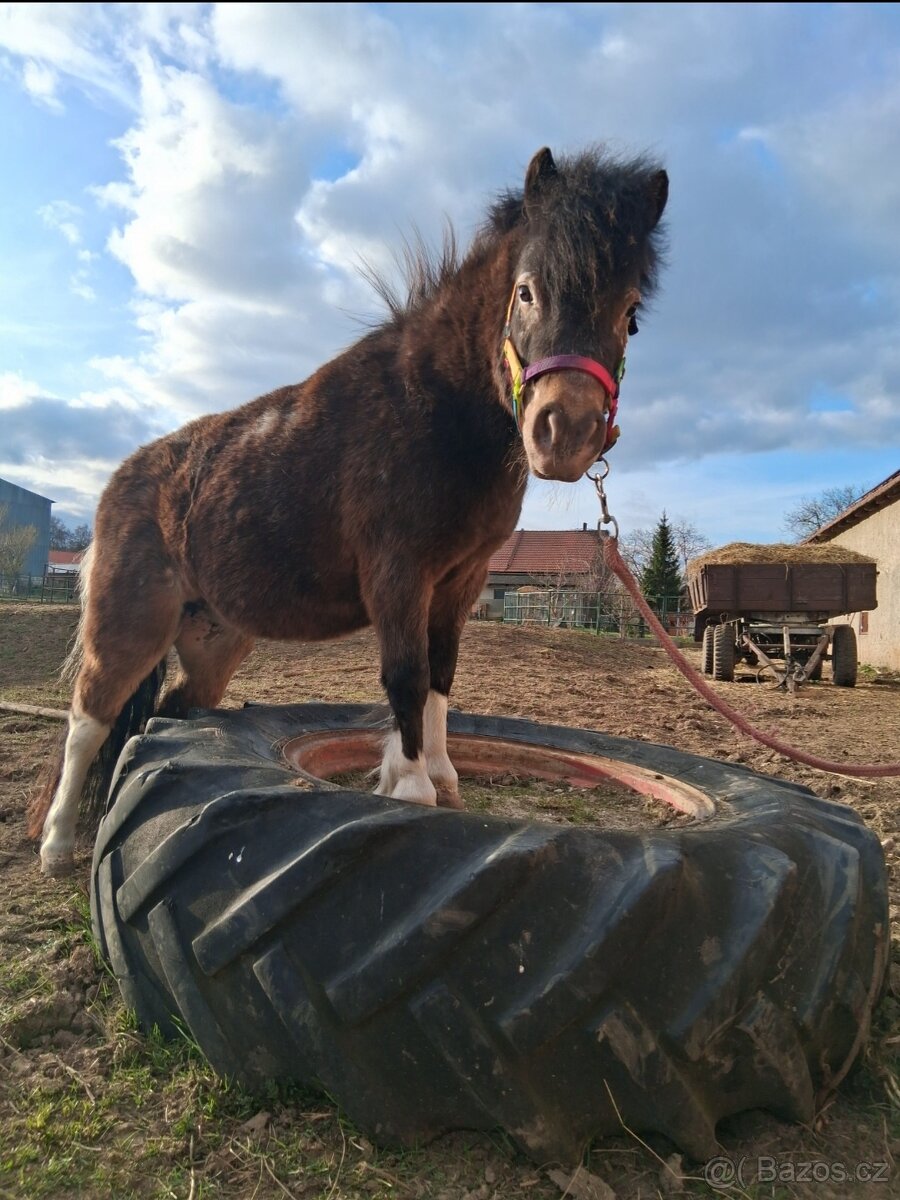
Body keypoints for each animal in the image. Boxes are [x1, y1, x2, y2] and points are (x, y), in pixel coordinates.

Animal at [31, 144, 668, 876]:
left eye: (631, 312)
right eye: (528, 290)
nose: (565, 432)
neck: (433, 410)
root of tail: (120, 483)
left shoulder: (461, 583)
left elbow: (440, 676)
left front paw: (442, 777)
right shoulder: (399, 573)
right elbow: (406, 676)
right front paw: (413, 788)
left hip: (214, 646)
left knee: (159, 717)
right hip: (129, 623)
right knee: (90, 720)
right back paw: (57, 847)